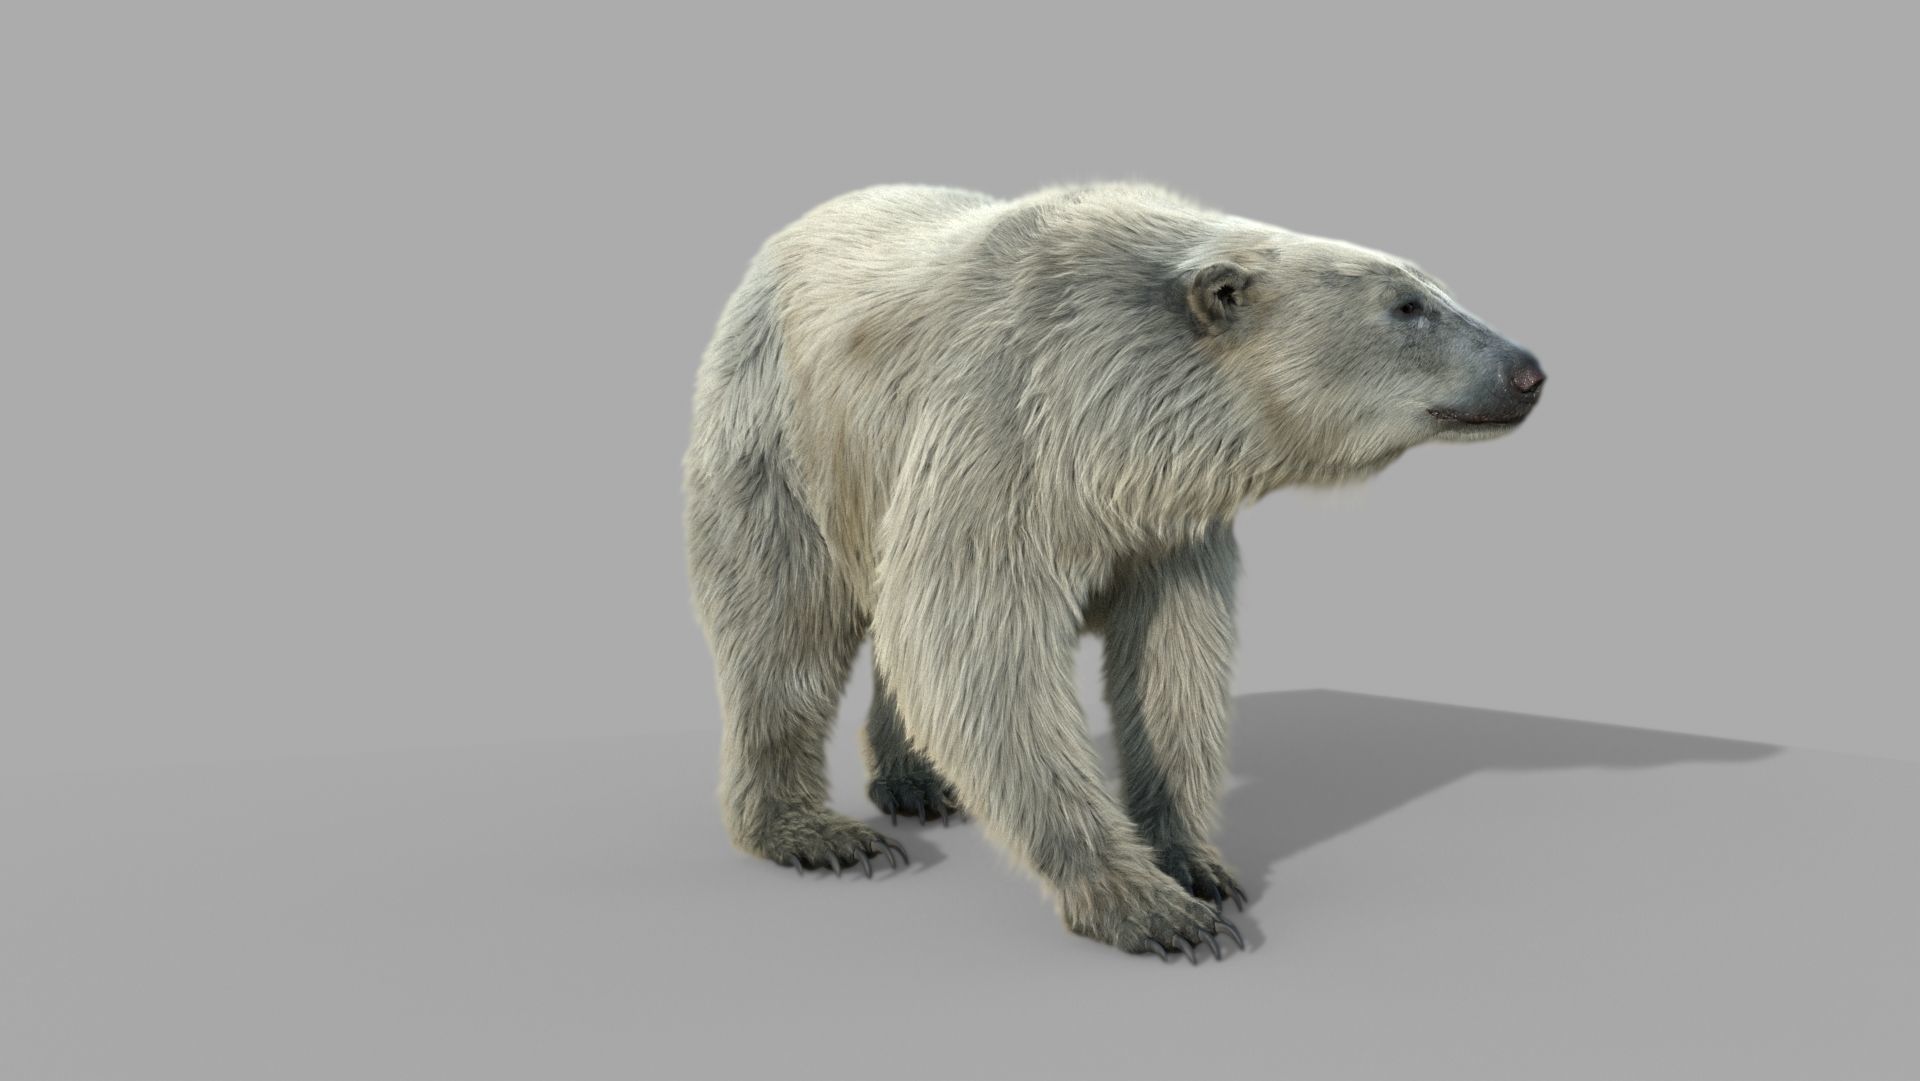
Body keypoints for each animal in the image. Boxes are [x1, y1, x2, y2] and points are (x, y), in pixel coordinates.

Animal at [681, 181, 1545, 962]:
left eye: (1436, 287)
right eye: (1407, 306)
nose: (1529, 370)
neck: (1113, 422)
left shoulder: (1167, 526)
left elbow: (1171, 663)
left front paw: (1195, 864)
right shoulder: (1002, 434)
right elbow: (976, 644)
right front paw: (1153, 910)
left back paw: (918, 782)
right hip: (781, 438)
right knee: (782, 625)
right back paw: (814, 831)